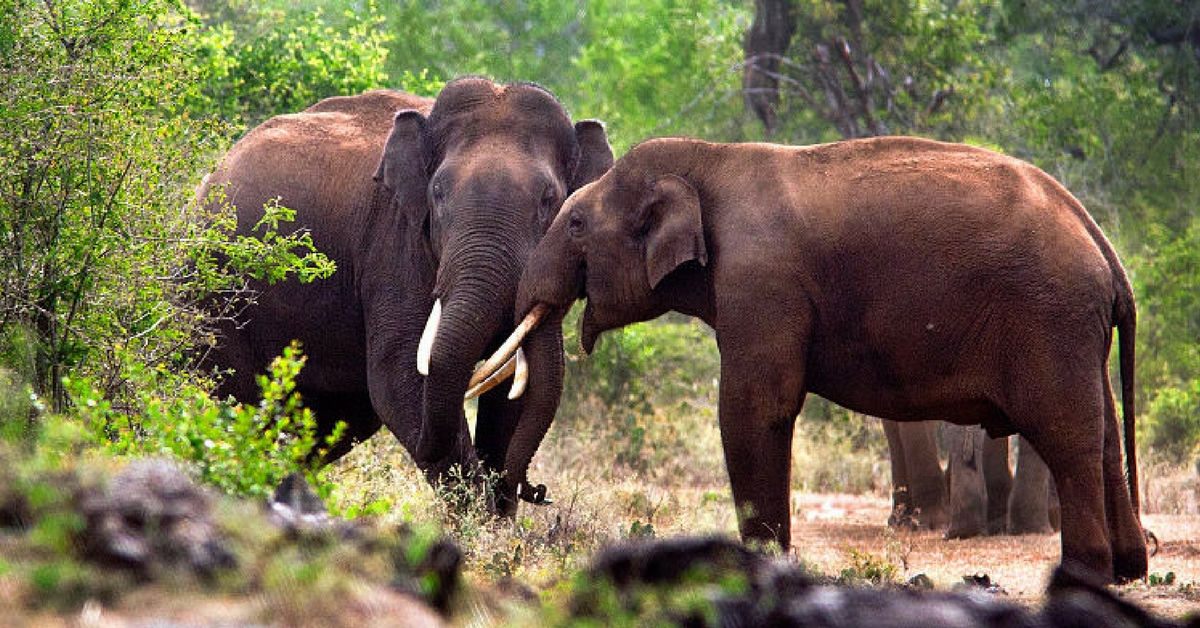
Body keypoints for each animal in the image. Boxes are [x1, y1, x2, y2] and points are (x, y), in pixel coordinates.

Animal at [198, 77, 614, 511]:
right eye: (438, 193)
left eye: (549, 199)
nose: (540, 491)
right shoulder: (395, 240)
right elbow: (398, 376)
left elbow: (515, 391)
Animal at [475, 135, 1142, 583]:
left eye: (575, 223)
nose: (532, 492)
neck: (708, 160)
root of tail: (1100, 243)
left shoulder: (763, 284)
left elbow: (753, 411)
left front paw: (763, 567)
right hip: (1075, 330)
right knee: (1106, 435)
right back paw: (1129, 569)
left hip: (1049, 318)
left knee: (1069, 437)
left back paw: (1087, 575)